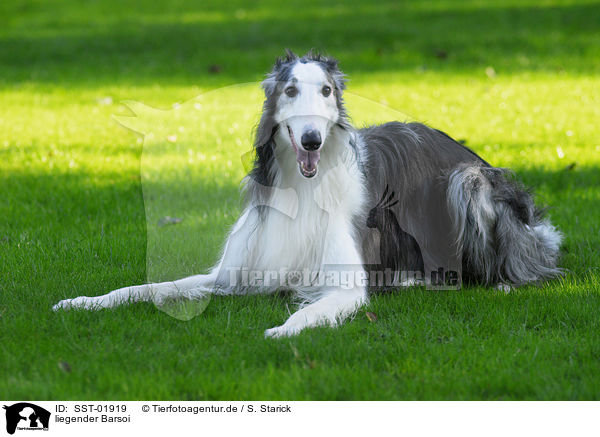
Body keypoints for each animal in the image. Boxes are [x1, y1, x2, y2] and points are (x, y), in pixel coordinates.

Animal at [52, 51, 564, 338]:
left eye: (327, 91)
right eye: (291, 90)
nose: (313, 140)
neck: (302, 189)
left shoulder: (345, 284)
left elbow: (312, 312)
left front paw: (281, 330)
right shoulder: (233, 274)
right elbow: (147, 287)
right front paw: (83, 302)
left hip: (468, 181)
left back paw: (501, 280)